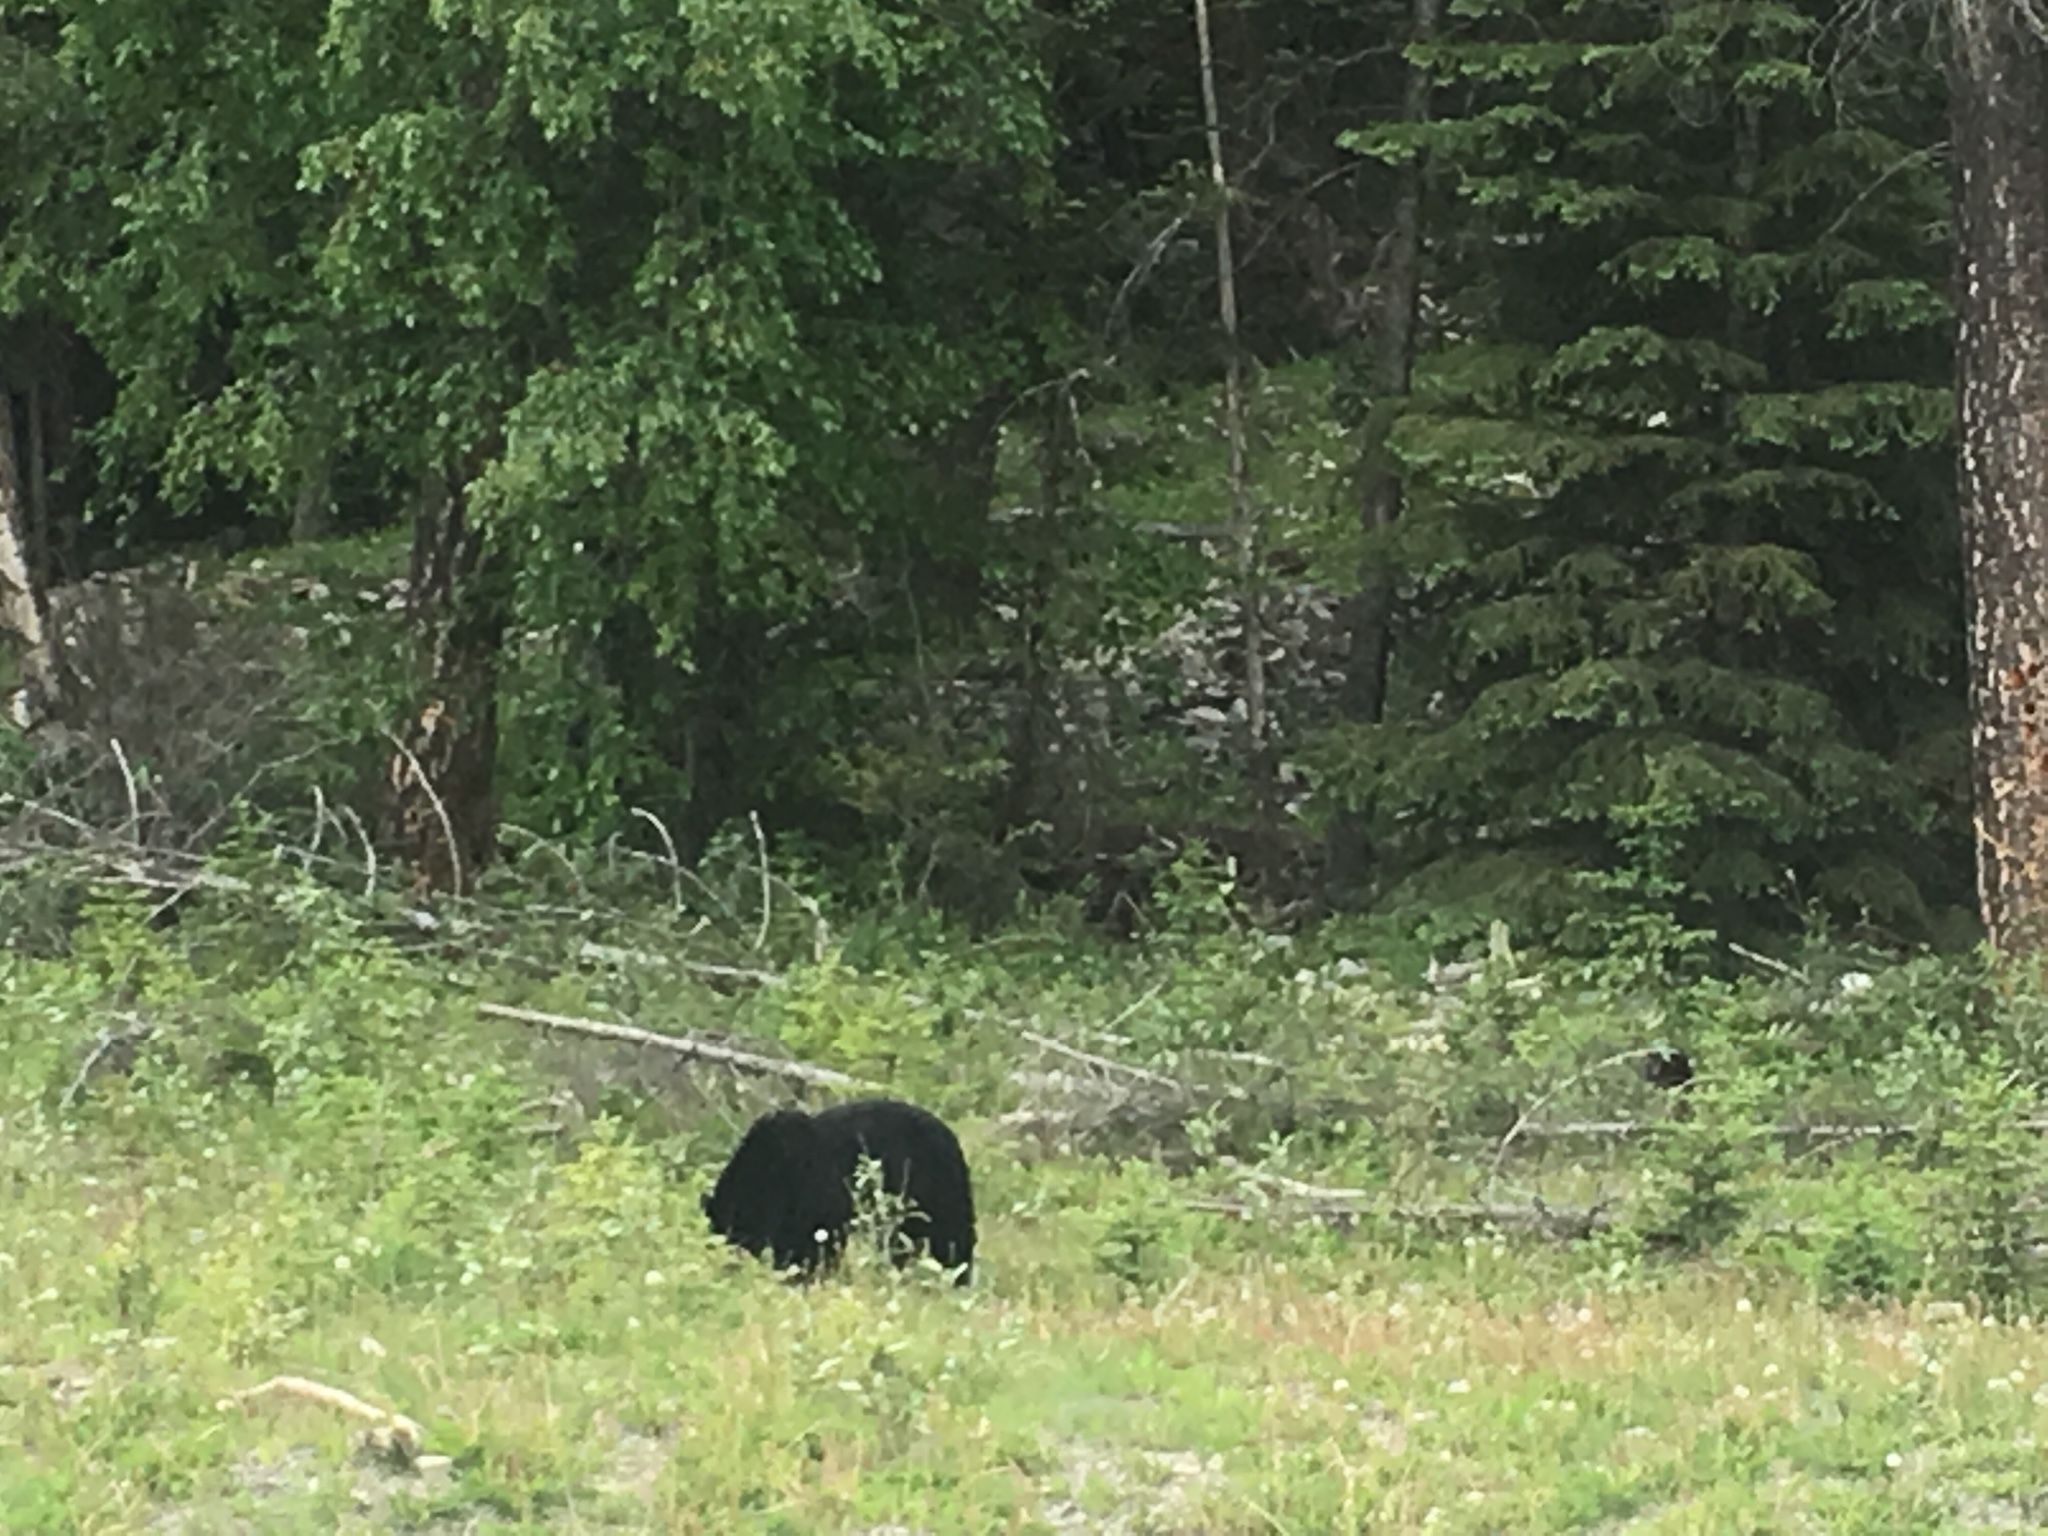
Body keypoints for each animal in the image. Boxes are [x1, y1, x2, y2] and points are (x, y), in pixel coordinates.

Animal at [704, 1097, 974, 1277]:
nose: (730, 1268)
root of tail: (950, 1134)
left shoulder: (812, 1187)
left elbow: (813, 1238)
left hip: (935, 1186)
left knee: (951, 1235)